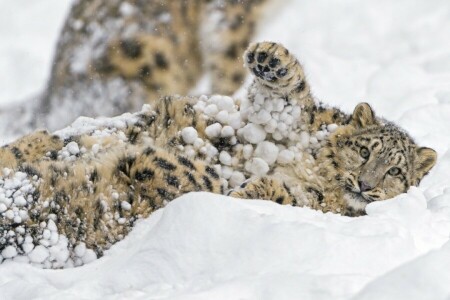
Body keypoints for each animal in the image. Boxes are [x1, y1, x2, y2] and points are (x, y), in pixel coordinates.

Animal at [0, 41, 436, 268]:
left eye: (395, 172)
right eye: (364, 151)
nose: (365, 184)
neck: (318, 171)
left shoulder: (311, 201)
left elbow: (281, 192)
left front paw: (244, 190)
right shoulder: (287, 122)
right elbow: (293, 95)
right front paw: (270, 57)